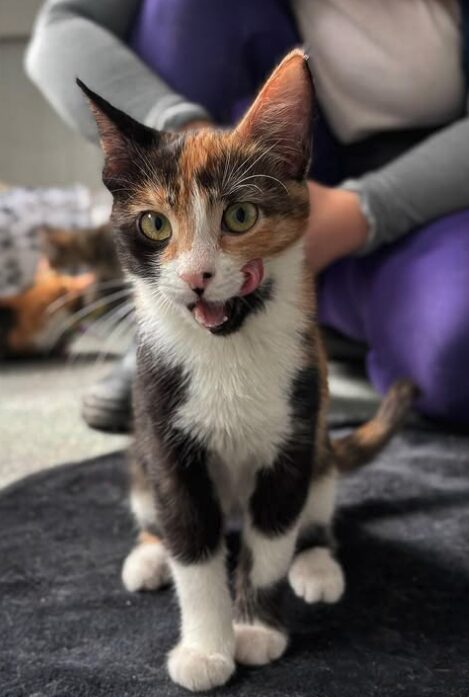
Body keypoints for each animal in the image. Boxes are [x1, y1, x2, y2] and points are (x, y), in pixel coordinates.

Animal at [80, 51, 414, 692]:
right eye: (155, 225)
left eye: (239, 215)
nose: (196, 276)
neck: (226, 349)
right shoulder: (165, 440)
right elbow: (192, 546)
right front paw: (207, 648)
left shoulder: (294, 433)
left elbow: (271, 539)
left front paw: (256, 630)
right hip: (139, 456)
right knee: (155, 512)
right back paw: (149, 554)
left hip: (320, 445)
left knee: (314, 515)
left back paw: (317, 564)